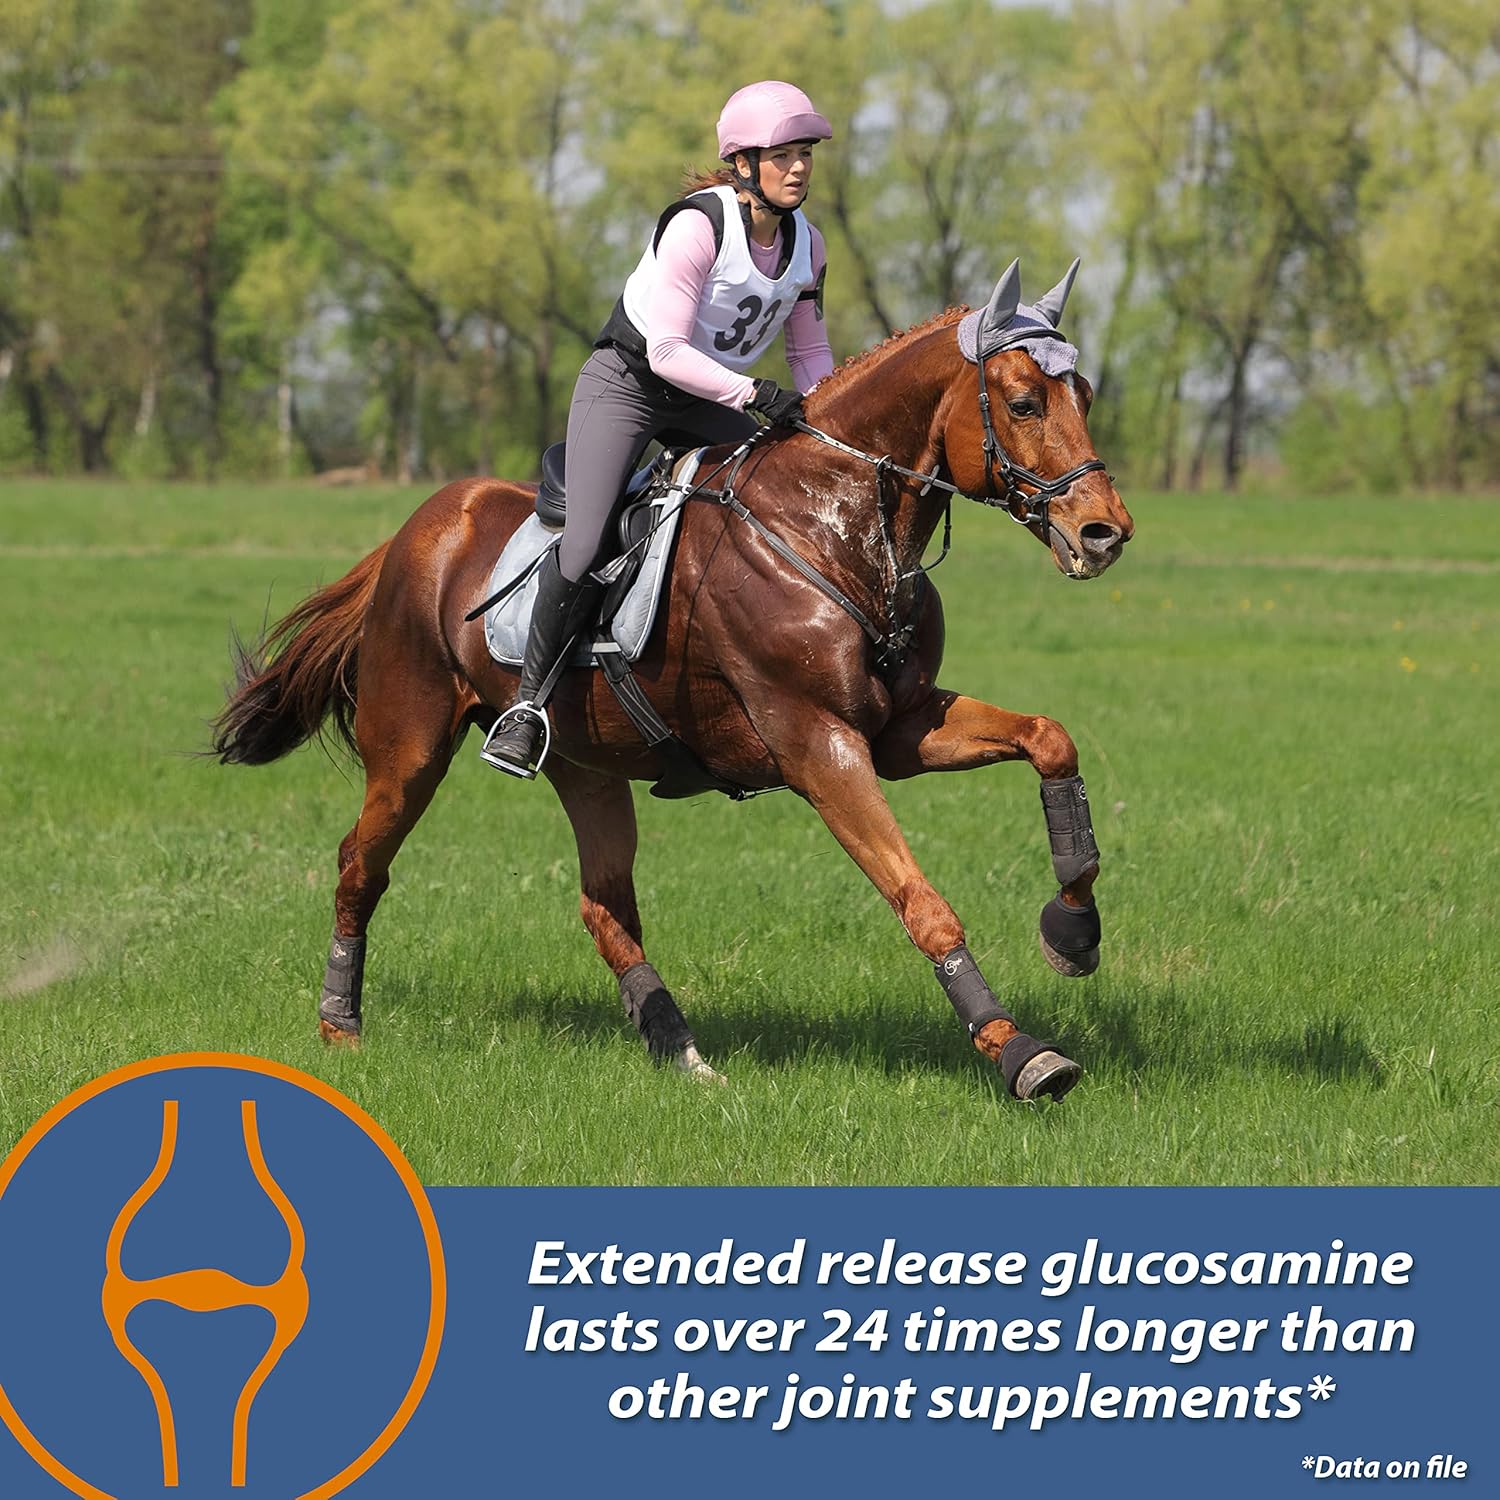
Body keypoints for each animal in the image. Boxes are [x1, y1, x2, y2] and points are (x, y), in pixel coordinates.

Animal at [212, 259, 1134, 1102]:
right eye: (1024, 402)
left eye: (1084, 393)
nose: (1106, 532)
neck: (832, 525)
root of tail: (424, 524)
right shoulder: (818, 744)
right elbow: (921, 900)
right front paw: (1020, 1052)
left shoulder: (900, 728)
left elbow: (1051, 740)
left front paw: (1074, 932)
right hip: (410, 748)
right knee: (359, 865)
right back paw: (340, 1023)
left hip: (584, 764)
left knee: (603, 906)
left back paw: (680, 1048)